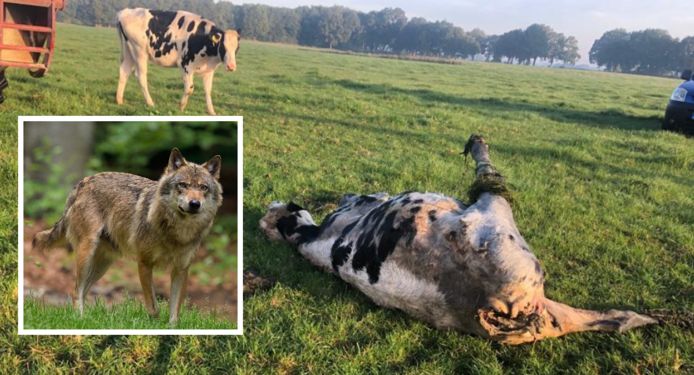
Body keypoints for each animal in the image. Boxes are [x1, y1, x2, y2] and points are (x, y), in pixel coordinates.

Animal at [33, 148, 223, 324]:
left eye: (203, 188)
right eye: (183, 185)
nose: (195, 204)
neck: (178, 232)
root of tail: (83, 182)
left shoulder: (181, 270)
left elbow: (175, 311)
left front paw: (171, 329)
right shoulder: (145, 264)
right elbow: (153, 305)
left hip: (102, 265)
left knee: (84, 291)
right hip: (86, 254)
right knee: (75, 290)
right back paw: (79, 319)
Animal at [260, 136, 656, 346]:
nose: (349, 195)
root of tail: (484, 304)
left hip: (544, 313)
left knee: (604, 320)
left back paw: (643, 318)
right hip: (499, 226)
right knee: (490, 178)